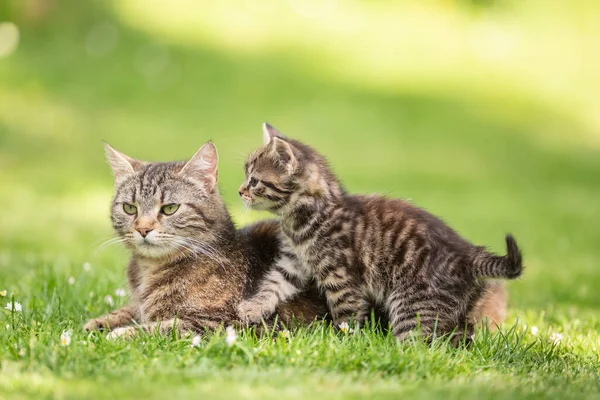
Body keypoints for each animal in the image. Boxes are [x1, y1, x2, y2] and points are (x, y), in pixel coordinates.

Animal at [83, 141, 328, 338]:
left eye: (170, 208)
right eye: (129, 208)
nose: (143, 229)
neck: (149, 269)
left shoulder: (232, 322)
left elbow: (166, 325)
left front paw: (122, 332)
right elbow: (132, 309)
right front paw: (101, 321)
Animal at [237, 123, 524, 342]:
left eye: (254, 181)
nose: (240, 191)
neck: (306, 218)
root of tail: (468, 254)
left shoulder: (341, 277)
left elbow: (346, 314)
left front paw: (342, 342)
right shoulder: (294, 261)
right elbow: (274, 283)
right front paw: (253, 307)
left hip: (414, 303)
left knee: (419, 343)